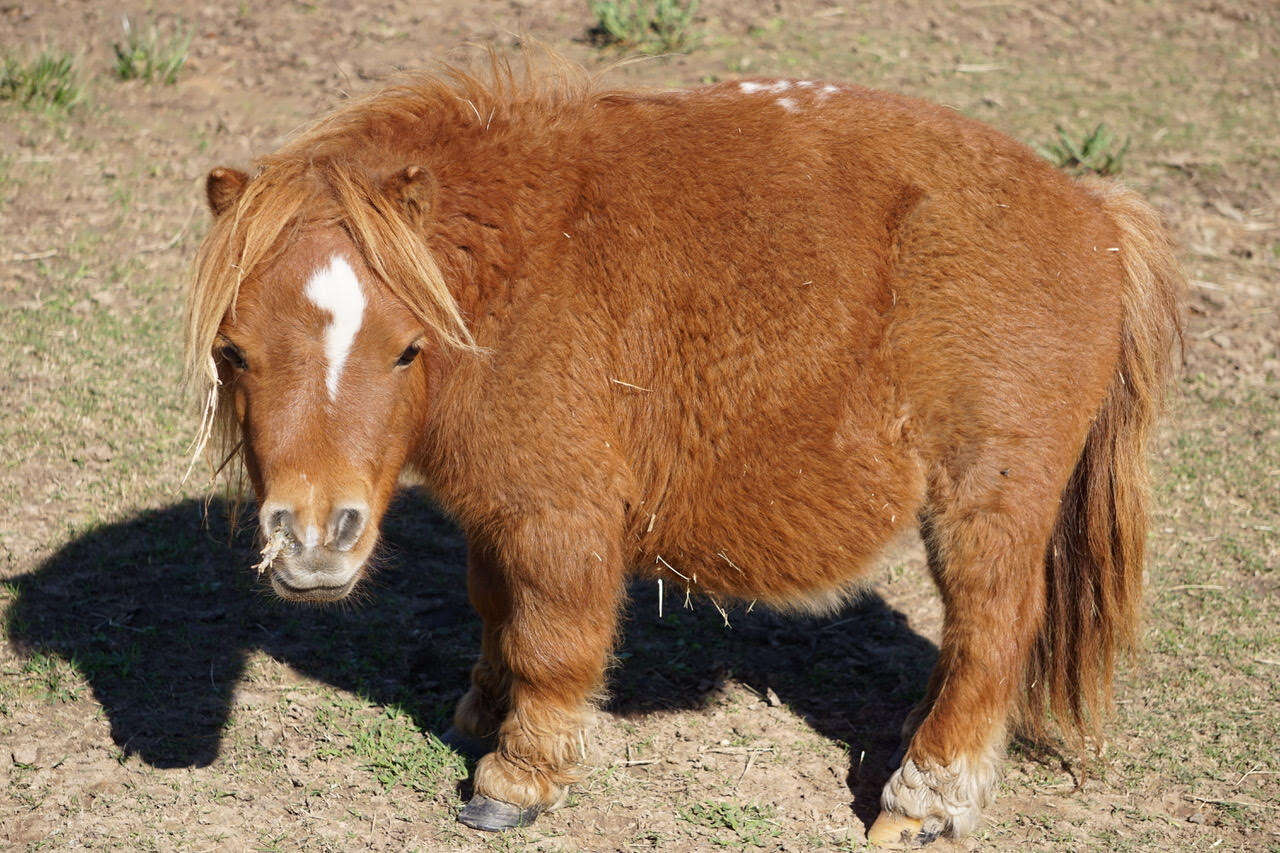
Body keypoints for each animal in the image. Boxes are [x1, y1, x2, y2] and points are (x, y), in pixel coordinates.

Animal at [185, 54, 1182, 845]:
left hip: (987, 498)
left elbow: (551, 638)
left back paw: (924, 797)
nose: (314, 541)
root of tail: (1096, 214)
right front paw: (480, 709)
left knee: (992, 630)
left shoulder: (561, 512)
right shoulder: (494, 509)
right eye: (234, 351)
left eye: (404, 348)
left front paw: (517, 777)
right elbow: (493, 607)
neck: (512, 275)